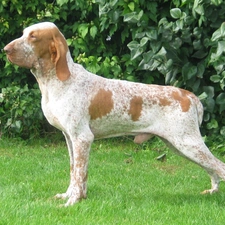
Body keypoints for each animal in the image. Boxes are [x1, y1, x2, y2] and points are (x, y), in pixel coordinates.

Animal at [3, 22, 225, 207]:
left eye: (33, 36)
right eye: (23, 33)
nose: (5, 50)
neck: (56, 82)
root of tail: (190, 96)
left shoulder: (82, 138)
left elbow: (79, 173)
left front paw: (73, 202)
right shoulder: (70, 138)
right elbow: (74, 170)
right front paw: (71, 196)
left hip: (188, 143)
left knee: (219, 166)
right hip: (179, 145)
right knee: (213, 170)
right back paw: (212, 192)